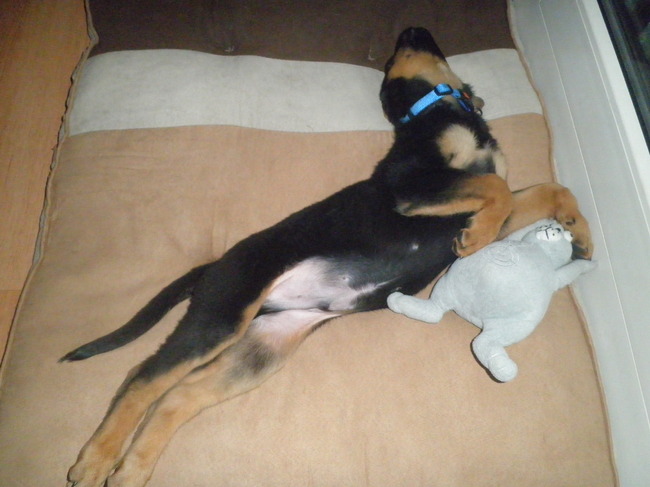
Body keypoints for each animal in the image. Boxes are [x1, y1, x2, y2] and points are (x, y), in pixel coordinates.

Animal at [63, 27, 592, 487]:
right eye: (394, 57)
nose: (411, 28)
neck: (441, 107)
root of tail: (213, 266)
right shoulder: (411, 186)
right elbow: (495, 187)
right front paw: (477, 238)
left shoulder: (479, 194)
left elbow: (546, 187)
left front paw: (580, 234)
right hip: (224, 313)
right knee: (141, 378)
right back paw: (96, 460)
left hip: (265, 347)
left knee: (177, 396)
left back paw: (132, 470)